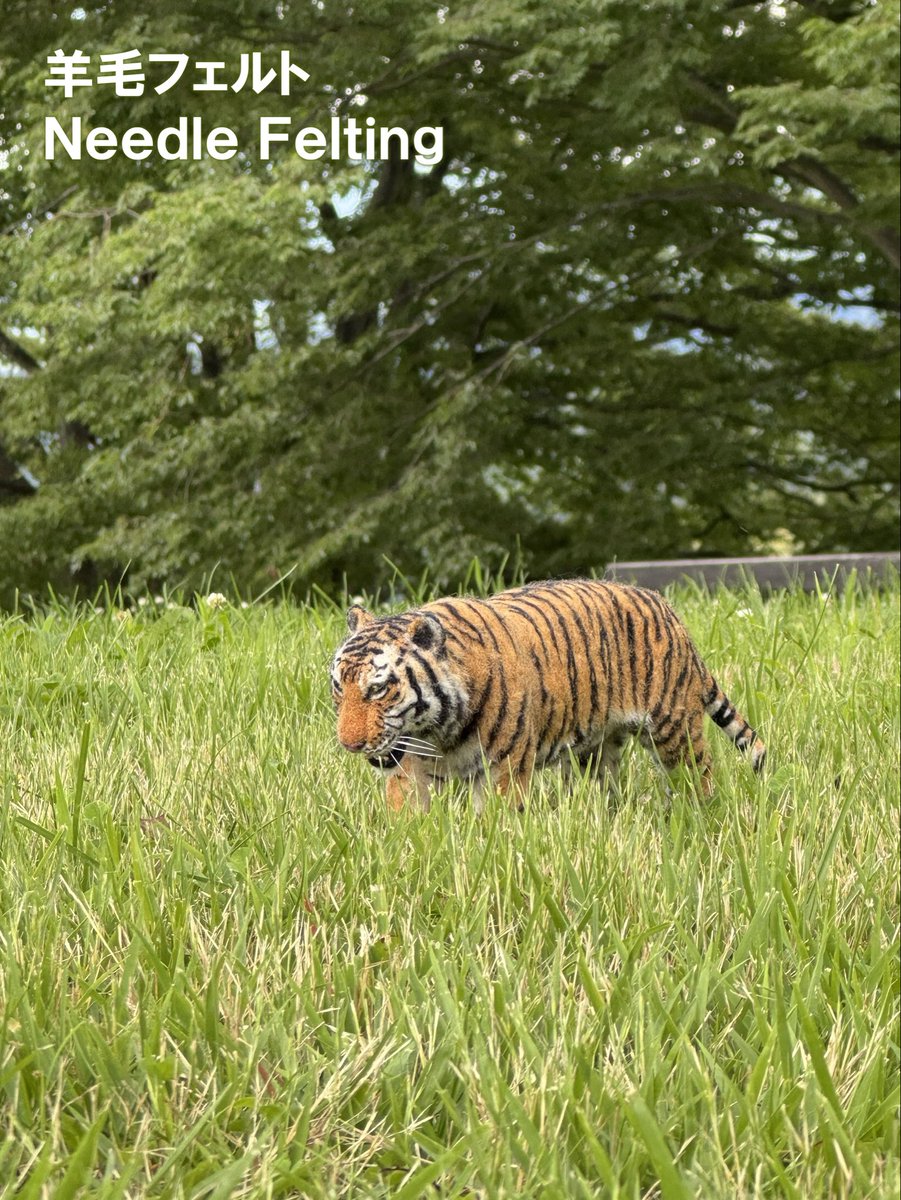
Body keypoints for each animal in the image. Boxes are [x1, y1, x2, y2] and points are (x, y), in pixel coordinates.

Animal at [330, 579, 766, 812]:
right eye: (339, 689)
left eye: (378, 689)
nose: (350, 745)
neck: (438, 732)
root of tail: (669, 611)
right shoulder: (411, 769)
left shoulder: (503, 771)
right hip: (593, 750)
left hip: (674, 732)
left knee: (700, 775)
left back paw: (700, 816)